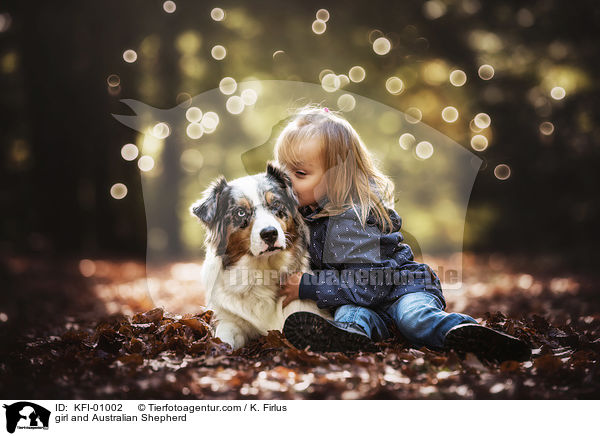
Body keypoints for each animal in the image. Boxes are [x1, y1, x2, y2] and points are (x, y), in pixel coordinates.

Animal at [190, 162, 330, 350]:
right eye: (240, 212)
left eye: (276, 204)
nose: (269, 234)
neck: (264, 270)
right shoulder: (230, 320)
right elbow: (223, 336)